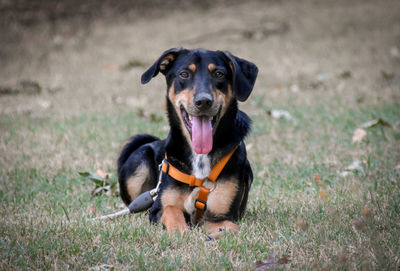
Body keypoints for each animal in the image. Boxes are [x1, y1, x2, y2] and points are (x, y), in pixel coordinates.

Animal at [117, 47, 258, 239]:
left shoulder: (221, 216)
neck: (200, 157)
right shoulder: (157, 209)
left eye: (219, 74)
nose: (204, 101)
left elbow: (231, 227)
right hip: (139, 161)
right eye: (184, 74)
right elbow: (171, 210)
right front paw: (180, 230)